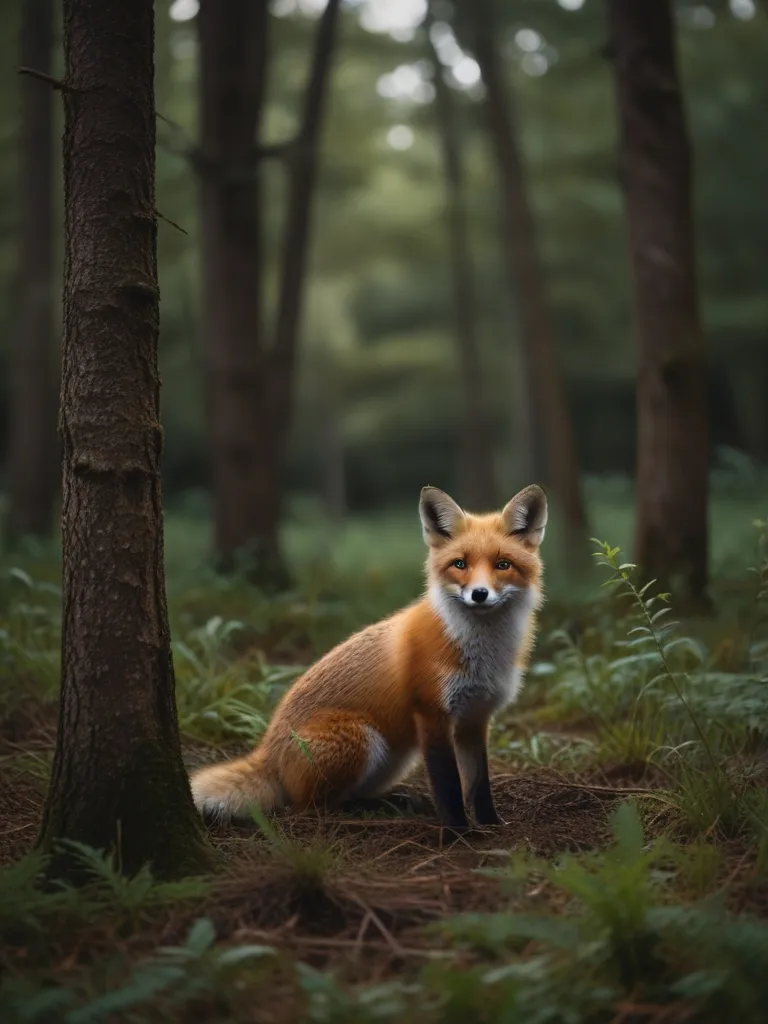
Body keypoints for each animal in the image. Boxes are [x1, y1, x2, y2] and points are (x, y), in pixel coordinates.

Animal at [190, 483, 548, 827]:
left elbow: (479, 784)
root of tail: (267, 749)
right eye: (460, 564)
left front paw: (491, 825)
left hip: (397, 757)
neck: (481, 653)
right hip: (362, 739)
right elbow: (448, 786)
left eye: (503, 565)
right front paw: (459, 832)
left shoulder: (476, 717)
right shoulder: (432, 713)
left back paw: (390, 803)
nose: (479, 594)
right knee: (311, 806)